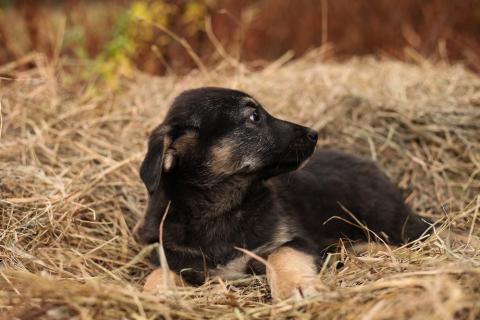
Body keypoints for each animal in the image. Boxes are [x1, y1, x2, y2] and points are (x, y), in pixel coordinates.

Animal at [132, 87, 432, 300]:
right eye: (254, 117)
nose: (314, 133)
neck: (222, 205)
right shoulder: (175, 256)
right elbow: (159, 273)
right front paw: (155, 295)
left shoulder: (296, 239)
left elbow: (282, 255)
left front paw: (297, 287)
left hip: (387, 223)